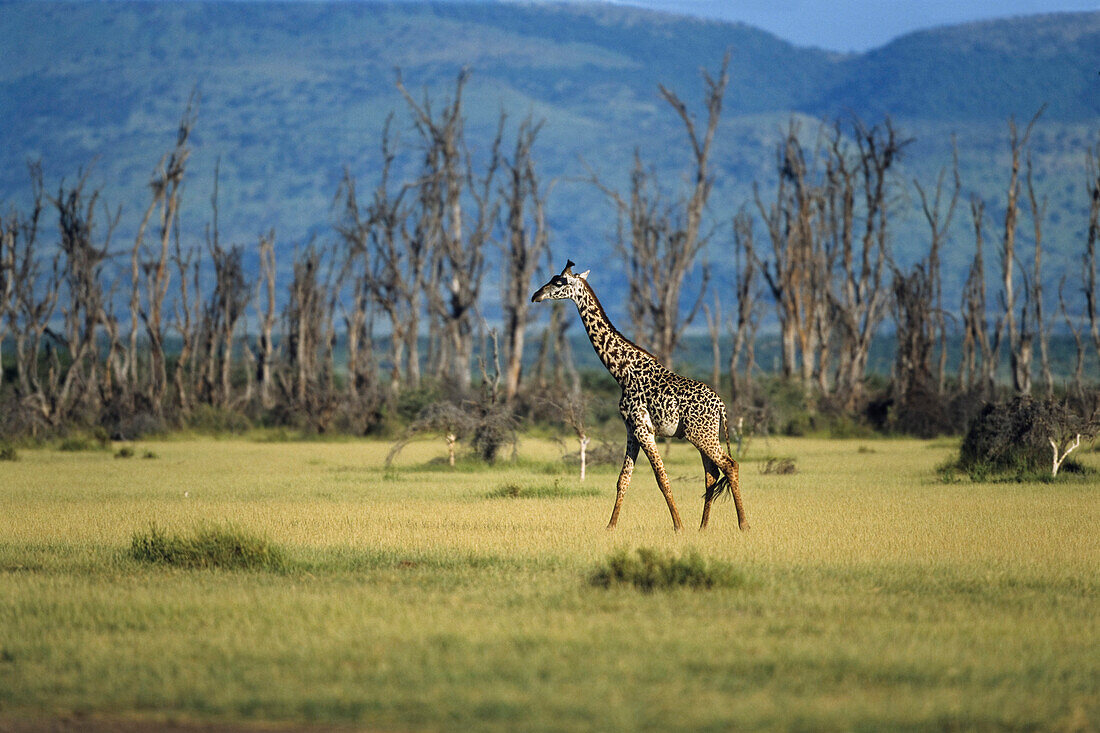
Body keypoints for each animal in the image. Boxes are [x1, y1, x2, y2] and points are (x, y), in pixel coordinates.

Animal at [530, 259, 748, 528]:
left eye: (559, 282)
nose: (535, 295)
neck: (622, 371)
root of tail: (721, 406)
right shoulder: (631, 429)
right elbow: (623, 479)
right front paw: (611, 526)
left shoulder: (643, 428)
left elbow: (662, 478)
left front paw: (678, 526)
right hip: (702, 434)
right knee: (712, 473)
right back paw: (703, 526)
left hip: (701, 434)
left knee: (730, 465)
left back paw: (743, 525)